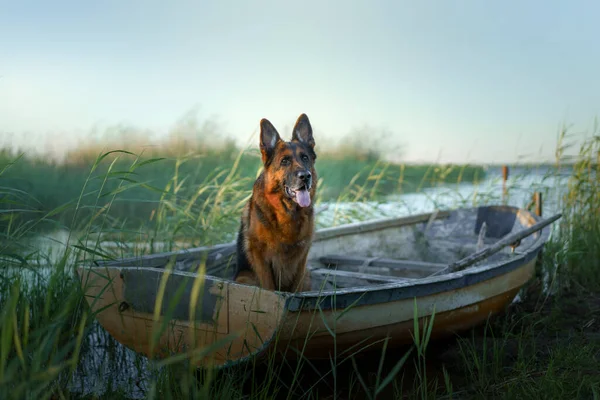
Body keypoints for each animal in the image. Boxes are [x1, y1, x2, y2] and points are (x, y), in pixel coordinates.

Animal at [234, 114, 318, 292]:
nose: (305, 176)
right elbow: (269, 289)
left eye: (305, 158)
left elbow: (296, 290)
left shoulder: (302, 258)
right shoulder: (260, 256)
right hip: (244, 278)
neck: (288, 212)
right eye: (285, 161)